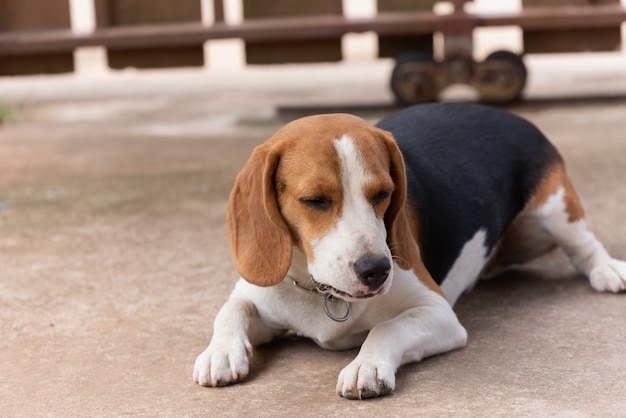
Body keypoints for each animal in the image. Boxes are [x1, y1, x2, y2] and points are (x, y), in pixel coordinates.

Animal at [193, 103, 620, 400]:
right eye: (314, 200)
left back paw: (608, 271)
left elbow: (387, 326)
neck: (321, 293)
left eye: (383, 194)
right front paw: (221, 353)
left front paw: (366, 365)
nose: (377, 270)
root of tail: (510, 115)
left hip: (554, 212)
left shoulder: (441, 313)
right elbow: (230, 310)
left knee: (584, 245)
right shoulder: (258, 296)